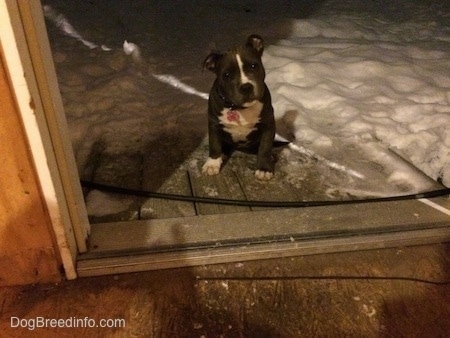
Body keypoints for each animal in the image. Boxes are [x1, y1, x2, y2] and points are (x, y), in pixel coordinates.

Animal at [202, 35, 276, 180]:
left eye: (253, 66)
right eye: (226, 75)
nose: (246, 87)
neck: (239, 108)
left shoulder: (268, 124)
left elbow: (264, 147)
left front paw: (264, 169)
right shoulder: (214, 123)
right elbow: (214, 144)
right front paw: (212, 164)